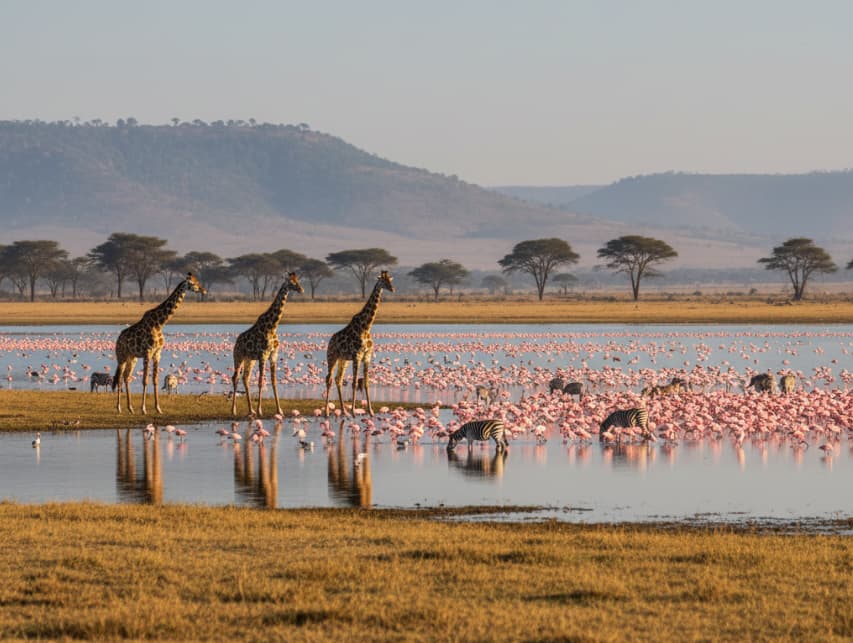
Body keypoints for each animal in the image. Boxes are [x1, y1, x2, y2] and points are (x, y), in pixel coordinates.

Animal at [113, 272, 206, 414]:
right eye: (194, 283)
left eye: (198, 281)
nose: (204, 290)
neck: (159, 324)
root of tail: (118, 339)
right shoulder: (147, 352)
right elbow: (145, 380)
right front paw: (144, 409)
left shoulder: (157, 353)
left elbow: (155, 380)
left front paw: (158, 408)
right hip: (121, 356)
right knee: (119, 378)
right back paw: (118, 408)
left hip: (132, 357)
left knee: (126, 377)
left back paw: (130, 408)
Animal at [231, 272, 304, 417]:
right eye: (291, 282)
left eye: (297, 280)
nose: (301, 289)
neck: (272, 326)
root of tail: (236, 342)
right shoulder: (263, 355)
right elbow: (260, 381)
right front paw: (260, 410)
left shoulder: (273, 355)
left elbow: (273, 381)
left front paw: (279, 410)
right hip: (238, 357)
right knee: (235, 377)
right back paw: (234, 410)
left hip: (250, 359)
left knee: (245, 378)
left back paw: (251, 410)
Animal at [324, 270, 394, 417]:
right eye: (382, 281)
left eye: (390, 280)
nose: (392, 289)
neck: (366, 327)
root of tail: (330, 342)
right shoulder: (357, 356)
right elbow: (355, 383)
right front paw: (354, 411)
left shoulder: (366, 356)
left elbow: (366, 382)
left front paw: (371, 411)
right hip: (332, 357)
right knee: (329, 379)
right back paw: (327, 411)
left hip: (343, 360)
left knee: (338, 379)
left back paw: (343, 411)